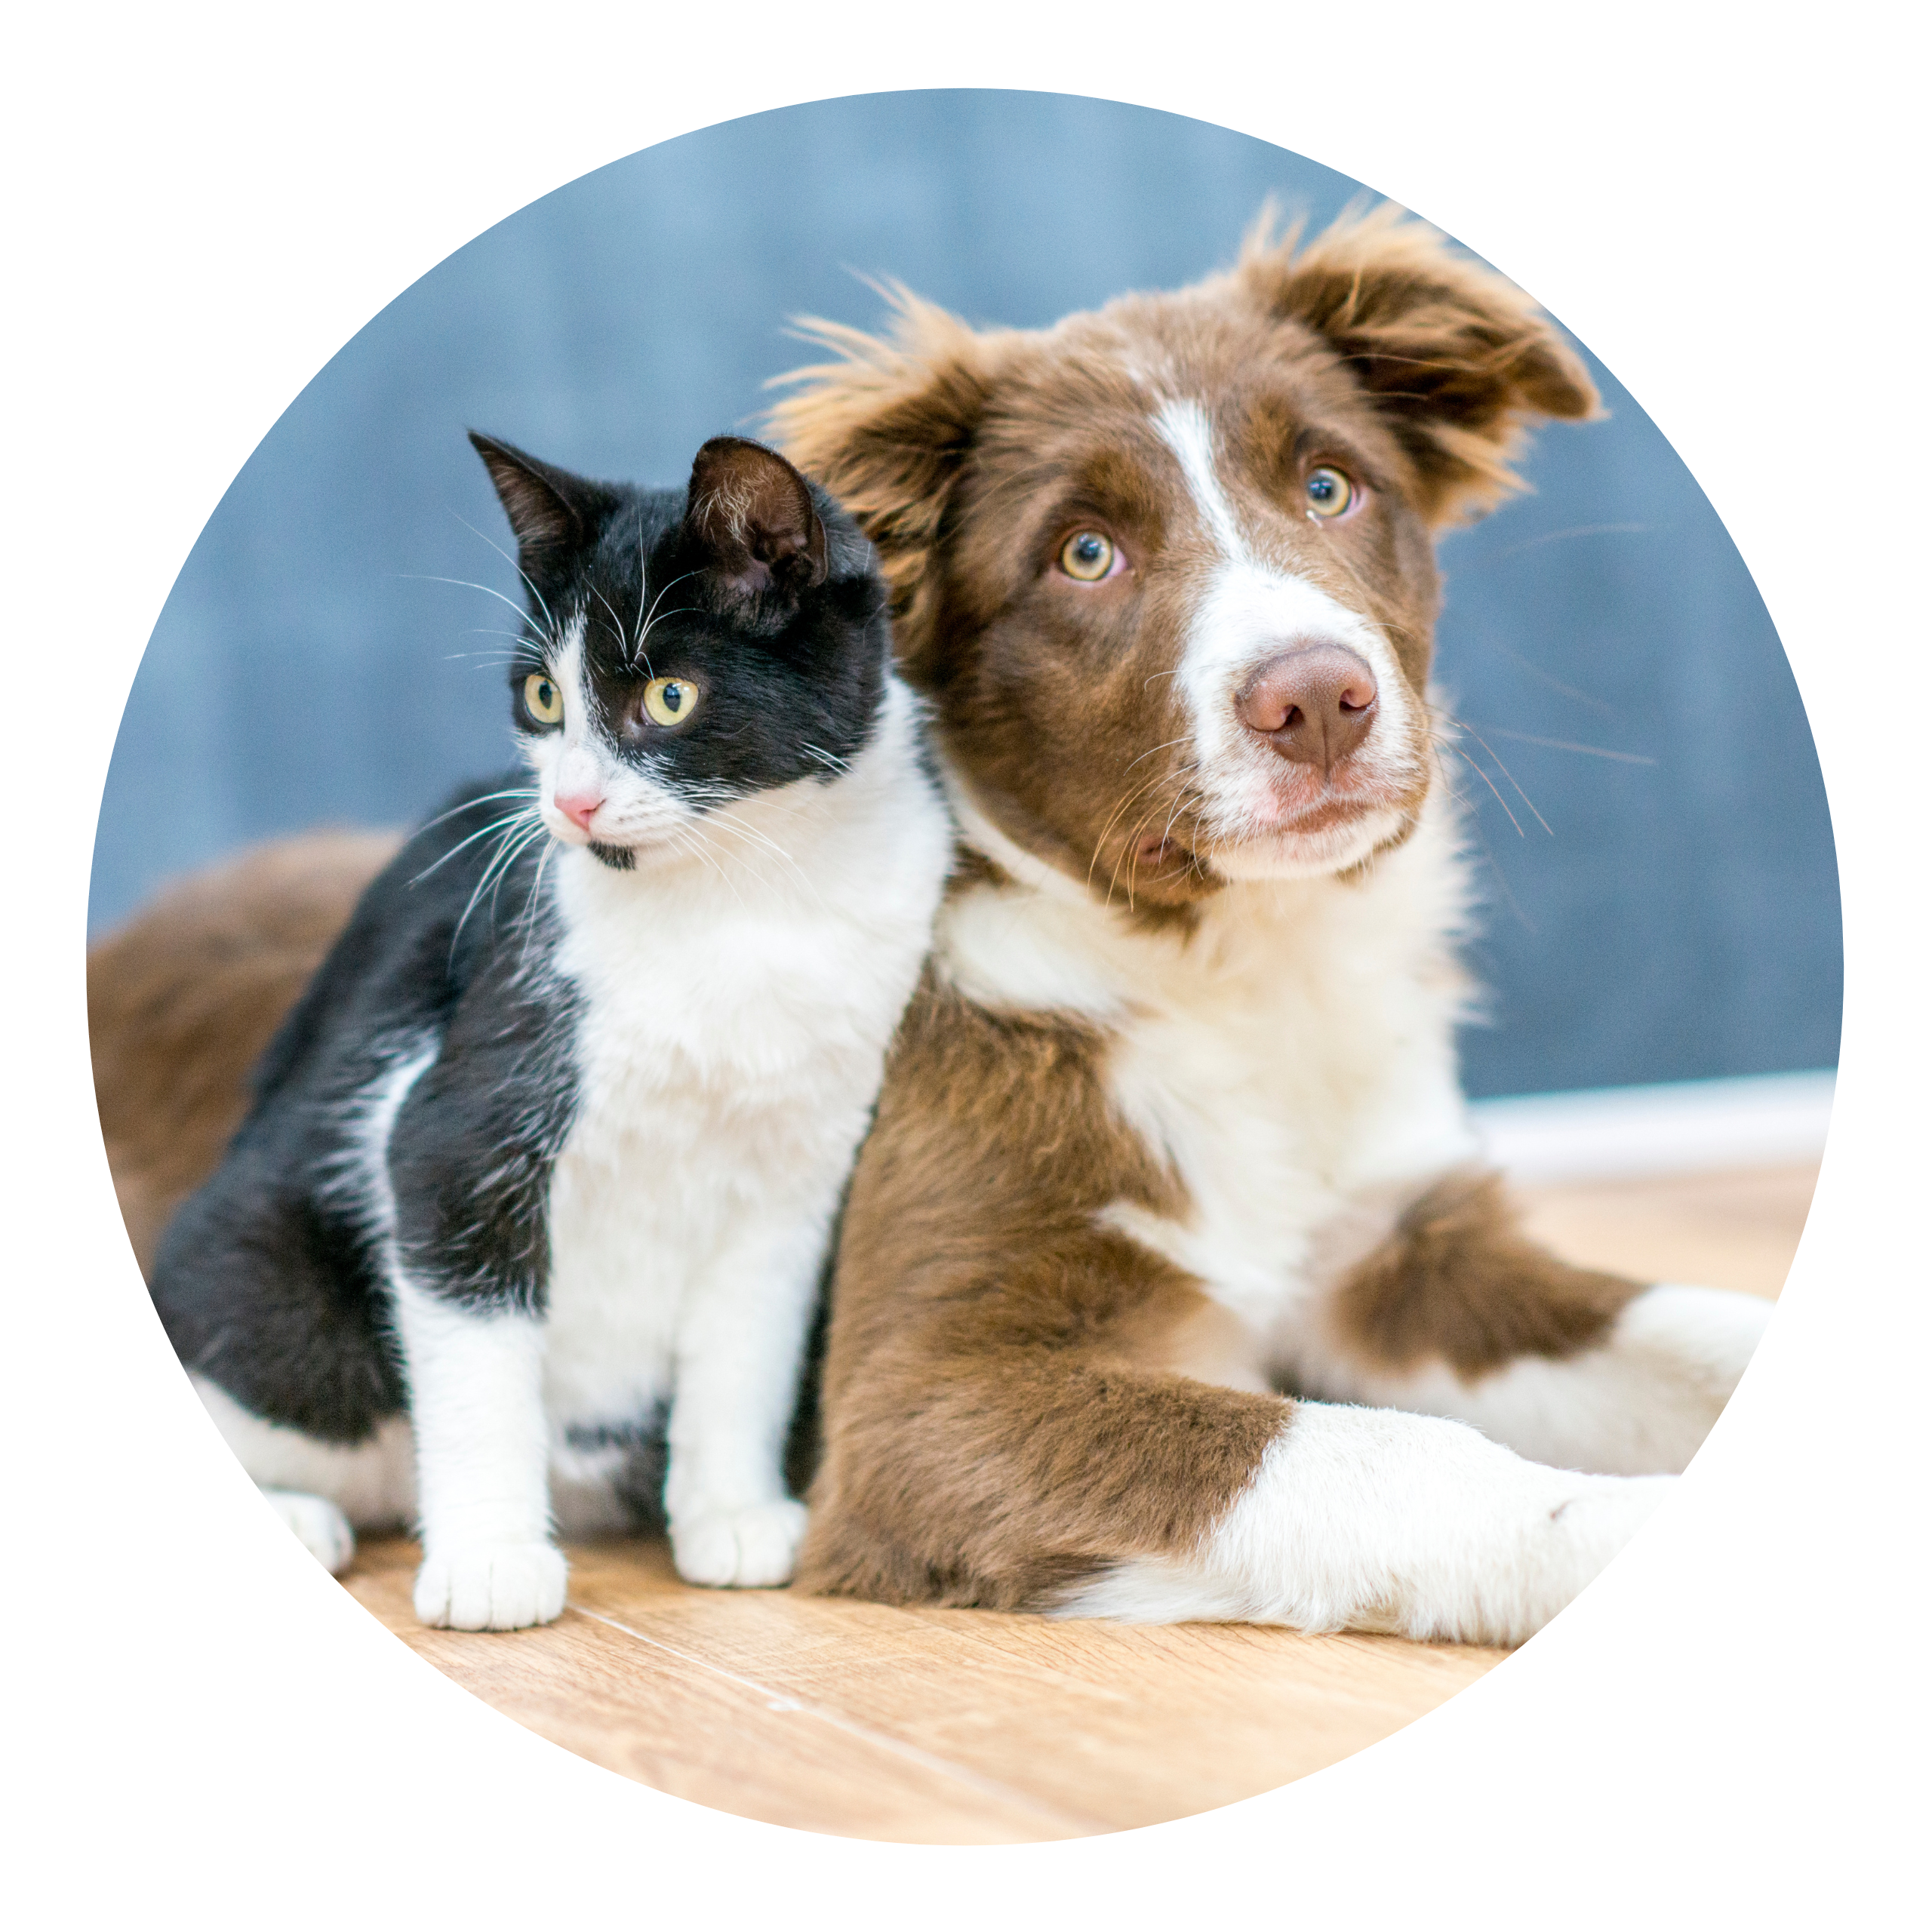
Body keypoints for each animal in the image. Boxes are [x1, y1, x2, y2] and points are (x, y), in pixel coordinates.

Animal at [152, 430, 958, 1623]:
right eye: (542, 697)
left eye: (668, 696)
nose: (571, 803)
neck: (742, 902)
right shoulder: (455, 1125)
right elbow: (478, 1345)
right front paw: (491, 1559)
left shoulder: (798, 1171)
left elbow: (748, 1346)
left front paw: (732, 1515)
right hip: (276, 1290)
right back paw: (301, 1516)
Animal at [761, 204, 1769, 1638]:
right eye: (1084, 555)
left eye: (1329, 487)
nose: (1321, 701)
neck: (1242, 967)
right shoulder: (920, 1397)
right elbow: (1373, 1453)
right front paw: (1613, 1525)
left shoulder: (1399, 1258)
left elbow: (1702, 1328)